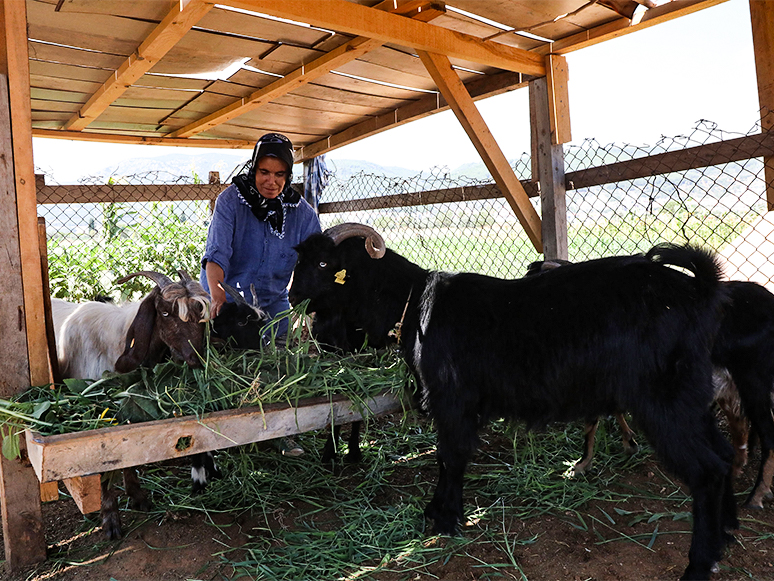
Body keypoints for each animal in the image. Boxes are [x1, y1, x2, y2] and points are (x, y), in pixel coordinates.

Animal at [52, 272, 211, 540]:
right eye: (165, 313)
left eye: (200, 313)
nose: (195, 359)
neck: (115, 344)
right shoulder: (99, 417)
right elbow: (104, 469)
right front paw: (110, 521)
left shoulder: (129, 410)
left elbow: (131, 457)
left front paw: (138, 497)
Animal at [292, 223, 740, 580]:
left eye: (324, 265)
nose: (291, 297)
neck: (415, 302)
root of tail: (699, 290)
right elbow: (450, 457)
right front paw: (439, 512)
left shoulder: (452, 401)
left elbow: (450, 456)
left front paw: (444, 518)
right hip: (691, 396)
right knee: (725, 453)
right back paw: (728, 532)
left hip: (665, 401)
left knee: (707, 471)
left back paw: (699, 564)